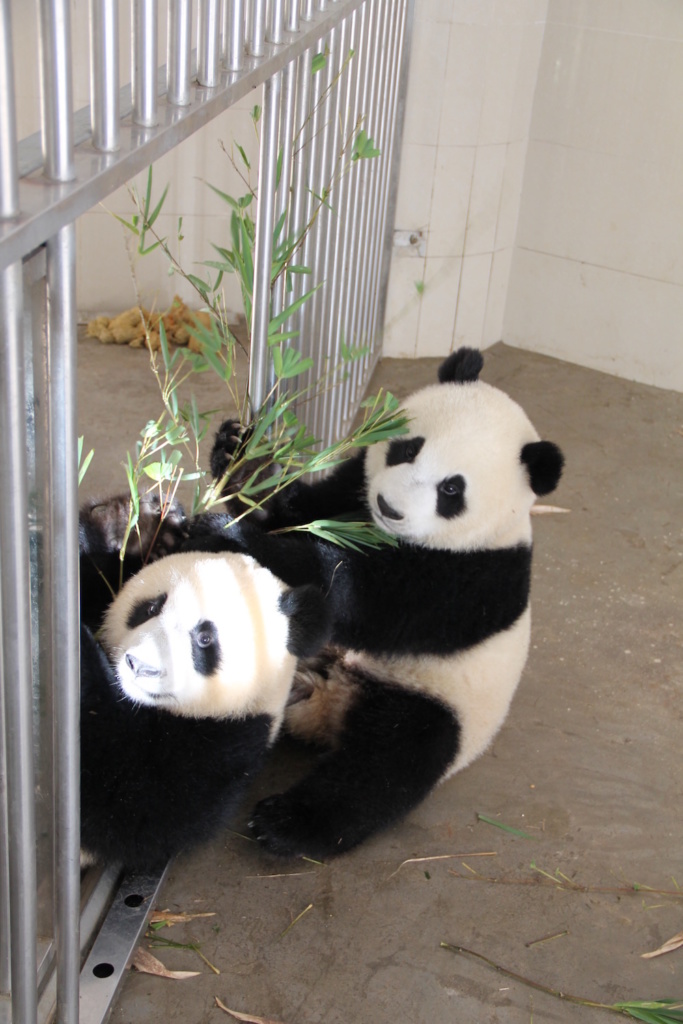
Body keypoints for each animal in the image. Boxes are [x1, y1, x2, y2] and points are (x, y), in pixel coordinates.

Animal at [77, 495, 327, 872]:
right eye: (150, 607)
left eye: (205, 639)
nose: (139, 666)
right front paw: (141, 528)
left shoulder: (226, 745)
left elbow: (129, 808)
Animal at [188, 348, 565, 860]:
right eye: (408, 448)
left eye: (451, 490)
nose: (390, 506)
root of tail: (327, 700)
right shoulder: (353, 486)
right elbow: (296, 509)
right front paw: (241, 456)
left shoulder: (473, 576)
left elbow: (357, 595)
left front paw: (232, 537)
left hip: (431, 704)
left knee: (384, 768)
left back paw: (286, 824)